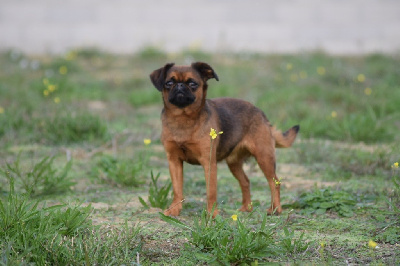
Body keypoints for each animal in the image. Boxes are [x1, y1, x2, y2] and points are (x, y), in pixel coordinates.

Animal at [148, 62, 298, 216]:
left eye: (192, 83)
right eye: (169, 83)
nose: (179, 86)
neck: (183, 118)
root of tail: (261, 114)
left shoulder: (208, 163)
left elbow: (211, 192)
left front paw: (212, 214)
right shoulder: (174, 161)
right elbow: (177, 189)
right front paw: (174, 210)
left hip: (264, 157)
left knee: (274, 182)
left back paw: (275, 209)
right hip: (234, 163)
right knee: (245, 181)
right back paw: (247, 207)